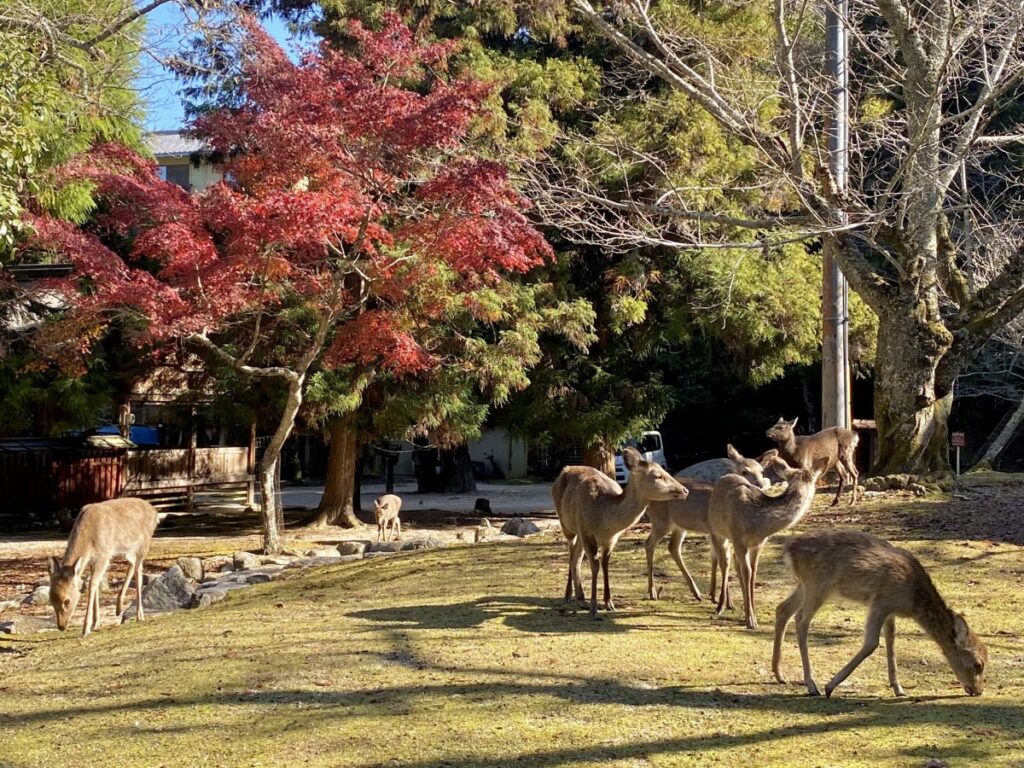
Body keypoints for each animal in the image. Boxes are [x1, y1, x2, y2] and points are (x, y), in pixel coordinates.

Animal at [48, 497, 159, 637]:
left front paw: (86, 629)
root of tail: (155, 512)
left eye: (67, 601)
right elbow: (96, 585)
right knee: (132, 565)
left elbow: (92, 585)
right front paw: (96, 624)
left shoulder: (104, 555)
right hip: (130, 548)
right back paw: (119, 608)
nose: (61, 626)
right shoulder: (93, 561)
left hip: (144, 544)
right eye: (51, 600)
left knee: (138, 571)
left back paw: (140, 615)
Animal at [553, 447, 687, 619]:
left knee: (576, 558)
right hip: (566, 525)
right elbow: (595, 565)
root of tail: (565, 469)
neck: (605, 519)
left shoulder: (612, 539)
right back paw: (568, 595)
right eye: (658, 476)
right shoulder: (586, 531)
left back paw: (581, 597)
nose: (685, 490)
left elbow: (605, 564)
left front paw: (609, 603)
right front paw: (594, 608)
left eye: (666, 471)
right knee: (571, 554)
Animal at [646, 445, 771, 602]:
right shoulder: (714, 531)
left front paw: (714, 595)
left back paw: (696, 592)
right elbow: (723, 561)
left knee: (673, 547)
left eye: (761, 471)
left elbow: (719, 560)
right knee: (649, 544)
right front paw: (726, 601)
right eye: (744, 471)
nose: (760, 485)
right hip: (661, 521)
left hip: (679, 525)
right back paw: (652, 592)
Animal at [708, 454, 829, 629]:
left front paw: (751, 614)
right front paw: (751, 620)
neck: (758, 522)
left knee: (735, 564)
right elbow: (747, 572)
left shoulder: (759, 543)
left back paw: (734, 605)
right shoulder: (738, 536)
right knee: (724, 563)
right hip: (717, 530)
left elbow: (753, 573)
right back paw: (720, 606)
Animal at [773, 529, 987, 698]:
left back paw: (780, 675)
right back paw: (812, 685)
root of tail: (789, 549)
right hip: (818, 584)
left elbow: (891, 641)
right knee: (801, 620)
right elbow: (871, 644)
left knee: (782, 609)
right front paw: (830, 687)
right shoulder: (881, 602)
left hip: (805, 585)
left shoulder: (890, 611)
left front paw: (898, 688)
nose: (978, 691)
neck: (912, 599)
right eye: (978, 664)